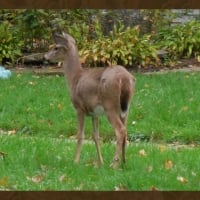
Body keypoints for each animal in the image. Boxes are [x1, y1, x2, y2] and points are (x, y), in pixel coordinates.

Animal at [45, 32, 136, 167]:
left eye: (56, 47)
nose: (45, 57)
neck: (74, 79)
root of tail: (124, 78)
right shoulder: (95, 113)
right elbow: (95, 136)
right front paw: (100, 162)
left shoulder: (79, 108)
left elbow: (80, 135)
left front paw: (75, 161)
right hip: (126, 106)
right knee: (125, 129)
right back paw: (124, 161)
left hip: (110, 105)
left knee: (120, 130)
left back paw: (114, 164)